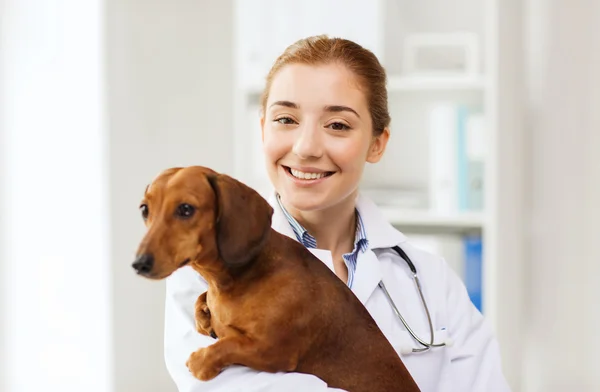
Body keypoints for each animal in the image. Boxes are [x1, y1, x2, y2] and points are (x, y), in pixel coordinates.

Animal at [131, 166, 422, 392]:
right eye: (144, 209)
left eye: (186, 209)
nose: (139, 264)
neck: (243, 277)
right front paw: (204, 315)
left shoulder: (273, 351)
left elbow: (229, 344)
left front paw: (202, 360)